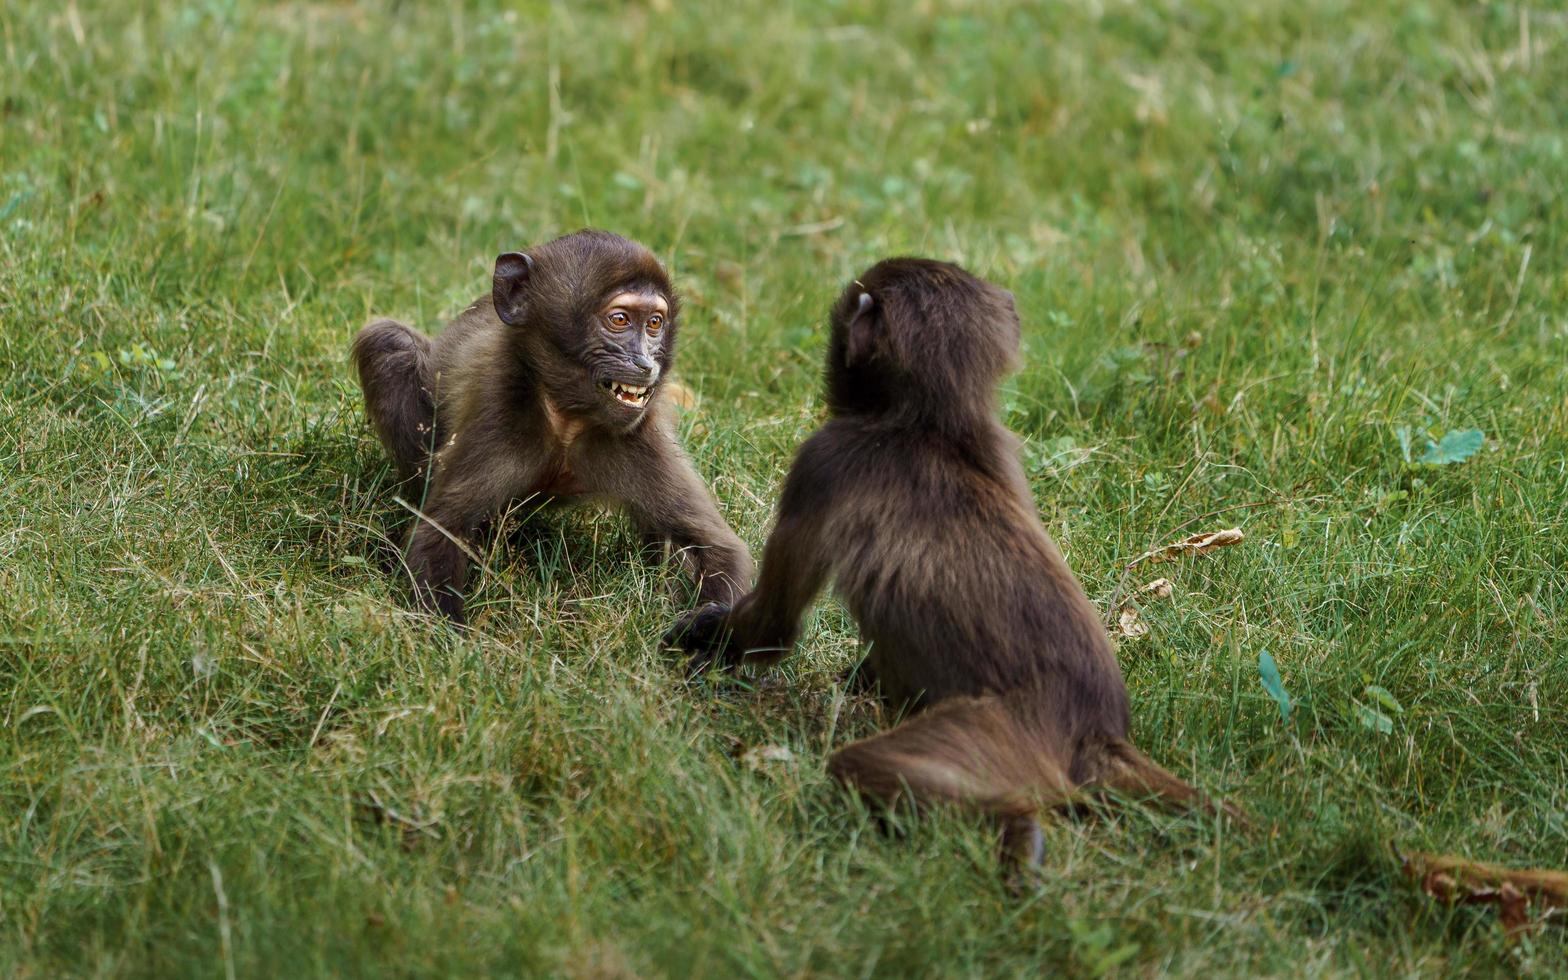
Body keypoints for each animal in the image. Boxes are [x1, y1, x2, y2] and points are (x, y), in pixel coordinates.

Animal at [354, 228, 752, 624]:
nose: (645, 363)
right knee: (388, 342)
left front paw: (708, 630)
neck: (568, 417)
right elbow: (439, 533)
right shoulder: (499, 409)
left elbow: (720, 548)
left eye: (655, 323)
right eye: (619, 319)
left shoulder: (641, 435)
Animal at [667, 255, 1241, 859]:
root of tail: (1097, 730)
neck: (929, 427)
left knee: (861, 765)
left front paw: (700, 640)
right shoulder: (1002, 450)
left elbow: (775, 627)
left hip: (1004, 736)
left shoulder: (824, 460)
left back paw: (1018, 826)